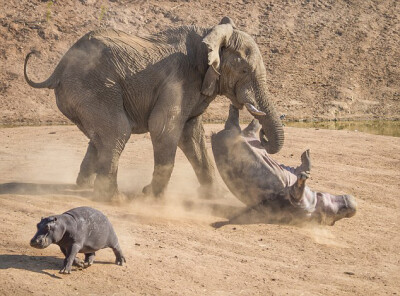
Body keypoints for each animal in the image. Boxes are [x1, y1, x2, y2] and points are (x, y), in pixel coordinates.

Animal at [23, 17, 284, 200]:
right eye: (244, 71)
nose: (262, 134)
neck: (210, 34)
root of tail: (59, 68)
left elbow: (192, 135)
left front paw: (215, 196)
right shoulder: (180, 79)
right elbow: (164, 127)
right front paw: (151, 196)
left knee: (101, 137)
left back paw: (82, 186)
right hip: (92, 88)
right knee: (117, 131)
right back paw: (114, 199)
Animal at [211, 106, 358, 224]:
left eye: (338, 214)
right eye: (341, 212)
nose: (353, 206)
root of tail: (215, 136)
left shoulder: (295, 200)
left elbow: (296, 190)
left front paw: (303, 176)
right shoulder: (294, 177)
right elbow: (304, 167)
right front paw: (306, 158)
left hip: (236, 133)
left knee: (240, 123)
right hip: (242, 135)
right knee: (247, 125)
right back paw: (279, 117)